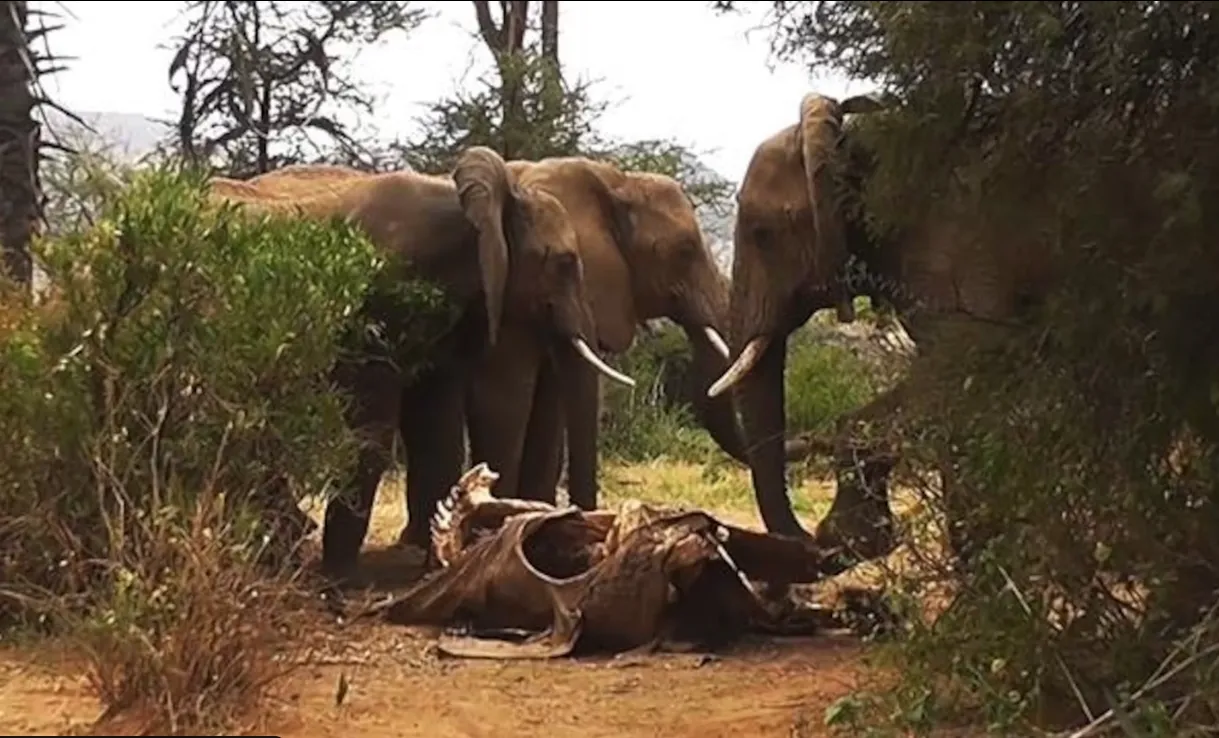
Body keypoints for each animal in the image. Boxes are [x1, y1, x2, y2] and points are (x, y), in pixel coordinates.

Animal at [206, 146, 636, 582]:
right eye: (564, 263)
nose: (586, 545)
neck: (479, 211)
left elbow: (436, 429)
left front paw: (436, 565)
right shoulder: (378, 306)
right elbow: (374, 430)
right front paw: (342, 577)